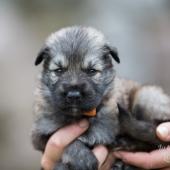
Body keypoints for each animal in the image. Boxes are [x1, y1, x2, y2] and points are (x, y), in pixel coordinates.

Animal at [31, 25, 170, 170]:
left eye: (91, 71)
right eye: (59, 70)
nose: (73, 95)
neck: (79, 115)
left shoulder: (103, 133)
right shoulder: (40, 134)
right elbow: (63, 140)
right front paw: (82, 158)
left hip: (146, 97)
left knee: (153, 137)